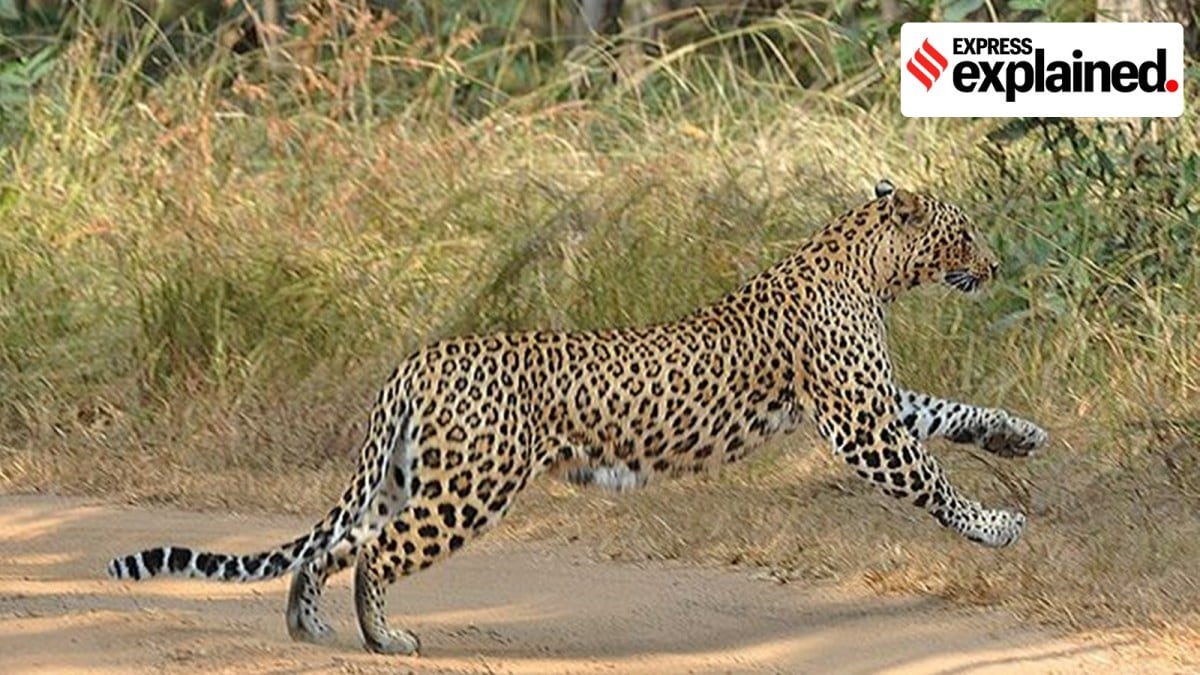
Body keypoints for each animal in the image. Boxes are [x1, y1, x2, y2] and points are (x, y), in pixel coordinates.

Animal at [107, 180, 1048, 655]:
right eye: (963, 232)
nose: (998, 264)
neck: (865, 263)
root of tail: (416, 359)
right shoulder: (860, 421)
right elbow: (933, 479)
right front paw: (997, 526)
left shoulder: (877, 401)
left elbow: (951, 410)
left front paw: (1019, 434)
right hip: (468, 486)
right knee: (375, 549)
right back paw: (386, 637)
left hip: (410, 473)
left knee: (329, 544)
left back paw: (308, 626)